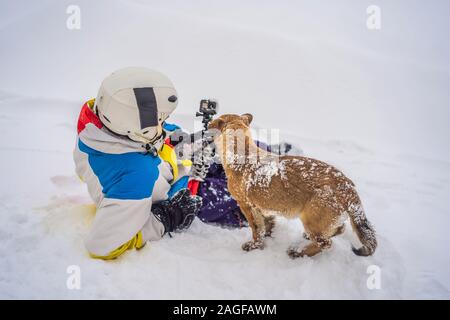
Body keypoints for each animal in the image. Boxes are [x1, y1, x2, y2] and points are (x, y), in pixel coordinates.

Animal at [209, 114, 378, 258]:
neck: (242, 153)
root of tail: (347, 186)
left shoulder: (246, 205)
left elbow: (257, 229)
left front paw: (254, 246)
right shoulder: (261, 207)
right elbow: (266, 225)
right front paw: (268, 235)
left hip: (311, 220)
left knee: (326, 243)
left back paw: (298, 252)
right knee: (339, 230)